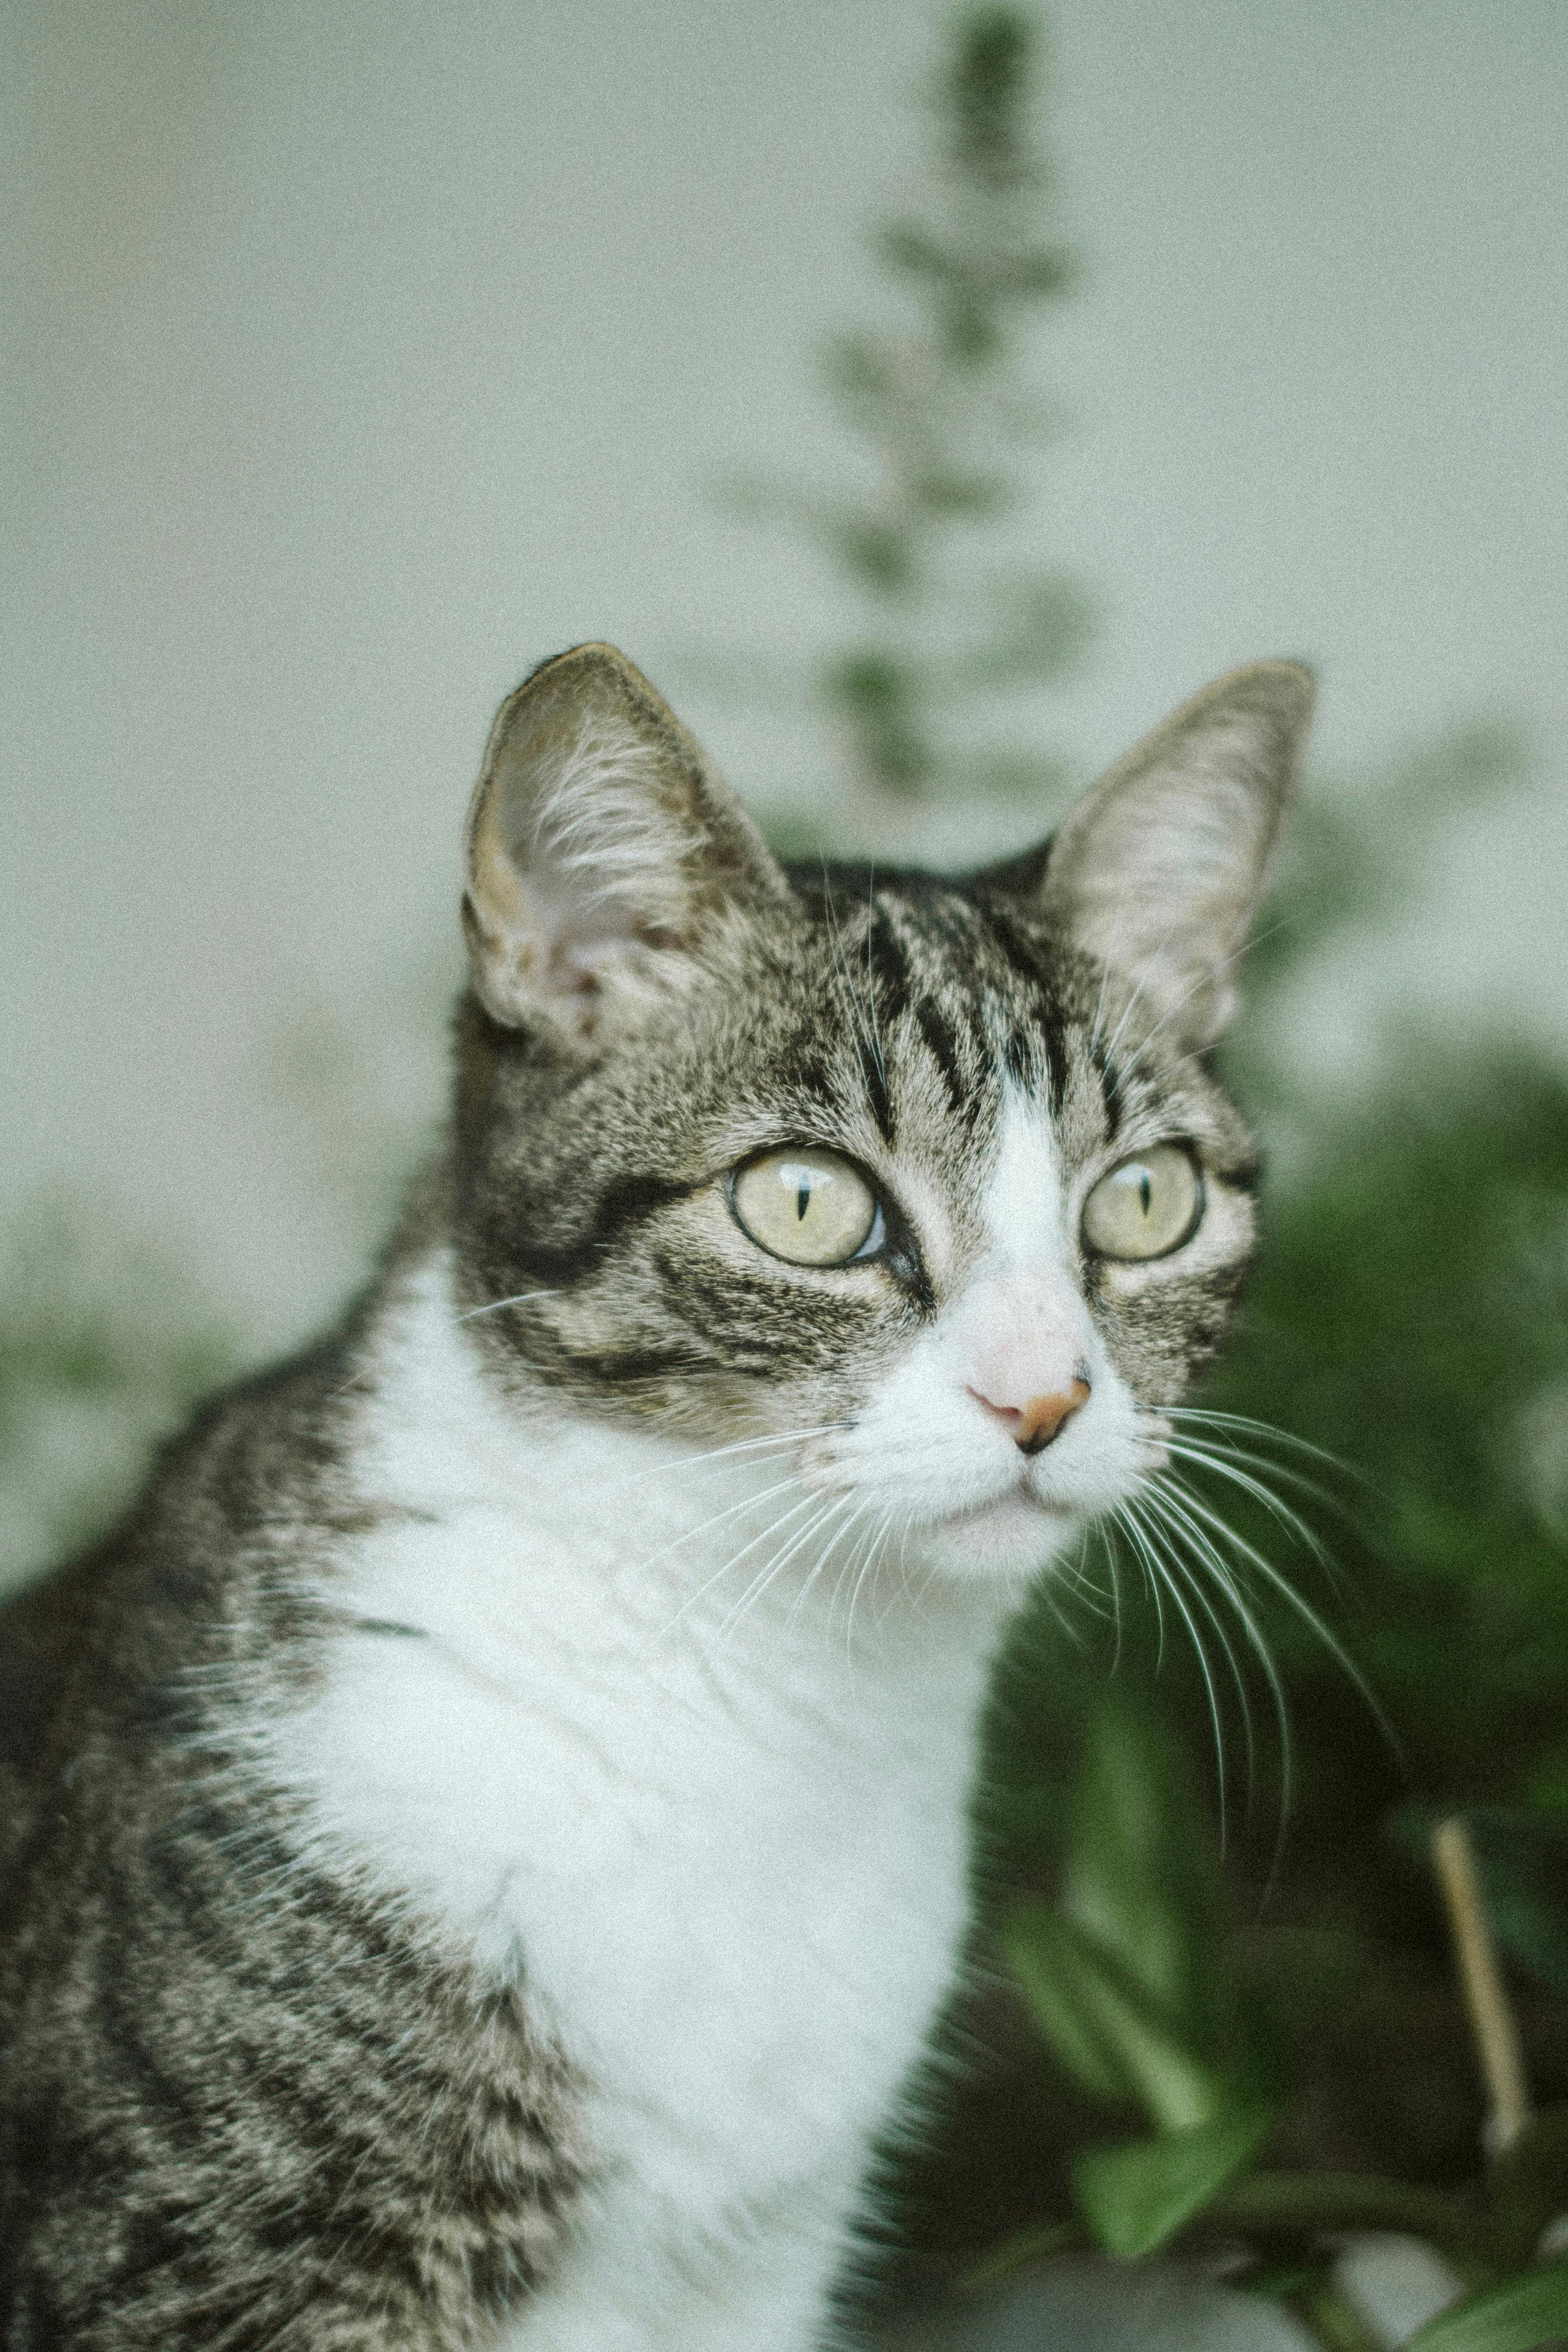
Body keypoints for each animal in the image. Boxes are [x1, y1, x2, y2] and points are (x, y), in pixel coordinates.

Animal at [0, 644, 1316, 2352]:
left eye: (1146, 1200)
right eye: (809, 1203)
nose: (1043, 1396)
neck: (752, 1693)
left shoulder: (761, 2262)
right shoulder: (211, 2255)